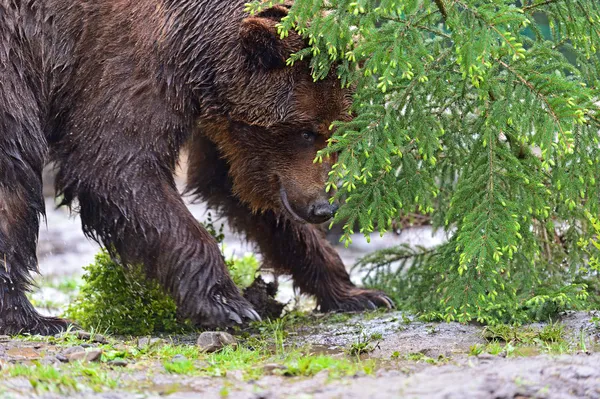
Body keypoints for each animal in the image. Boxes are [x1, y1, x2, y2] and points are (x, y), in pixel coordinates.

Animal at [0, 0, 394, 336]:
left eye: (336, 131)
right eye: (305, 130)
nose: (322, 208)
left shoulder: (227, 127)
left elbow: (236, 185)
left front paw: (357, 293)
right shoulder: (124, 56)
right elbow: (115, 162)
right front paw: (229, 304)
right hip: (12, 62)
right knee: (15, 166)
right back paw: (37, 319)